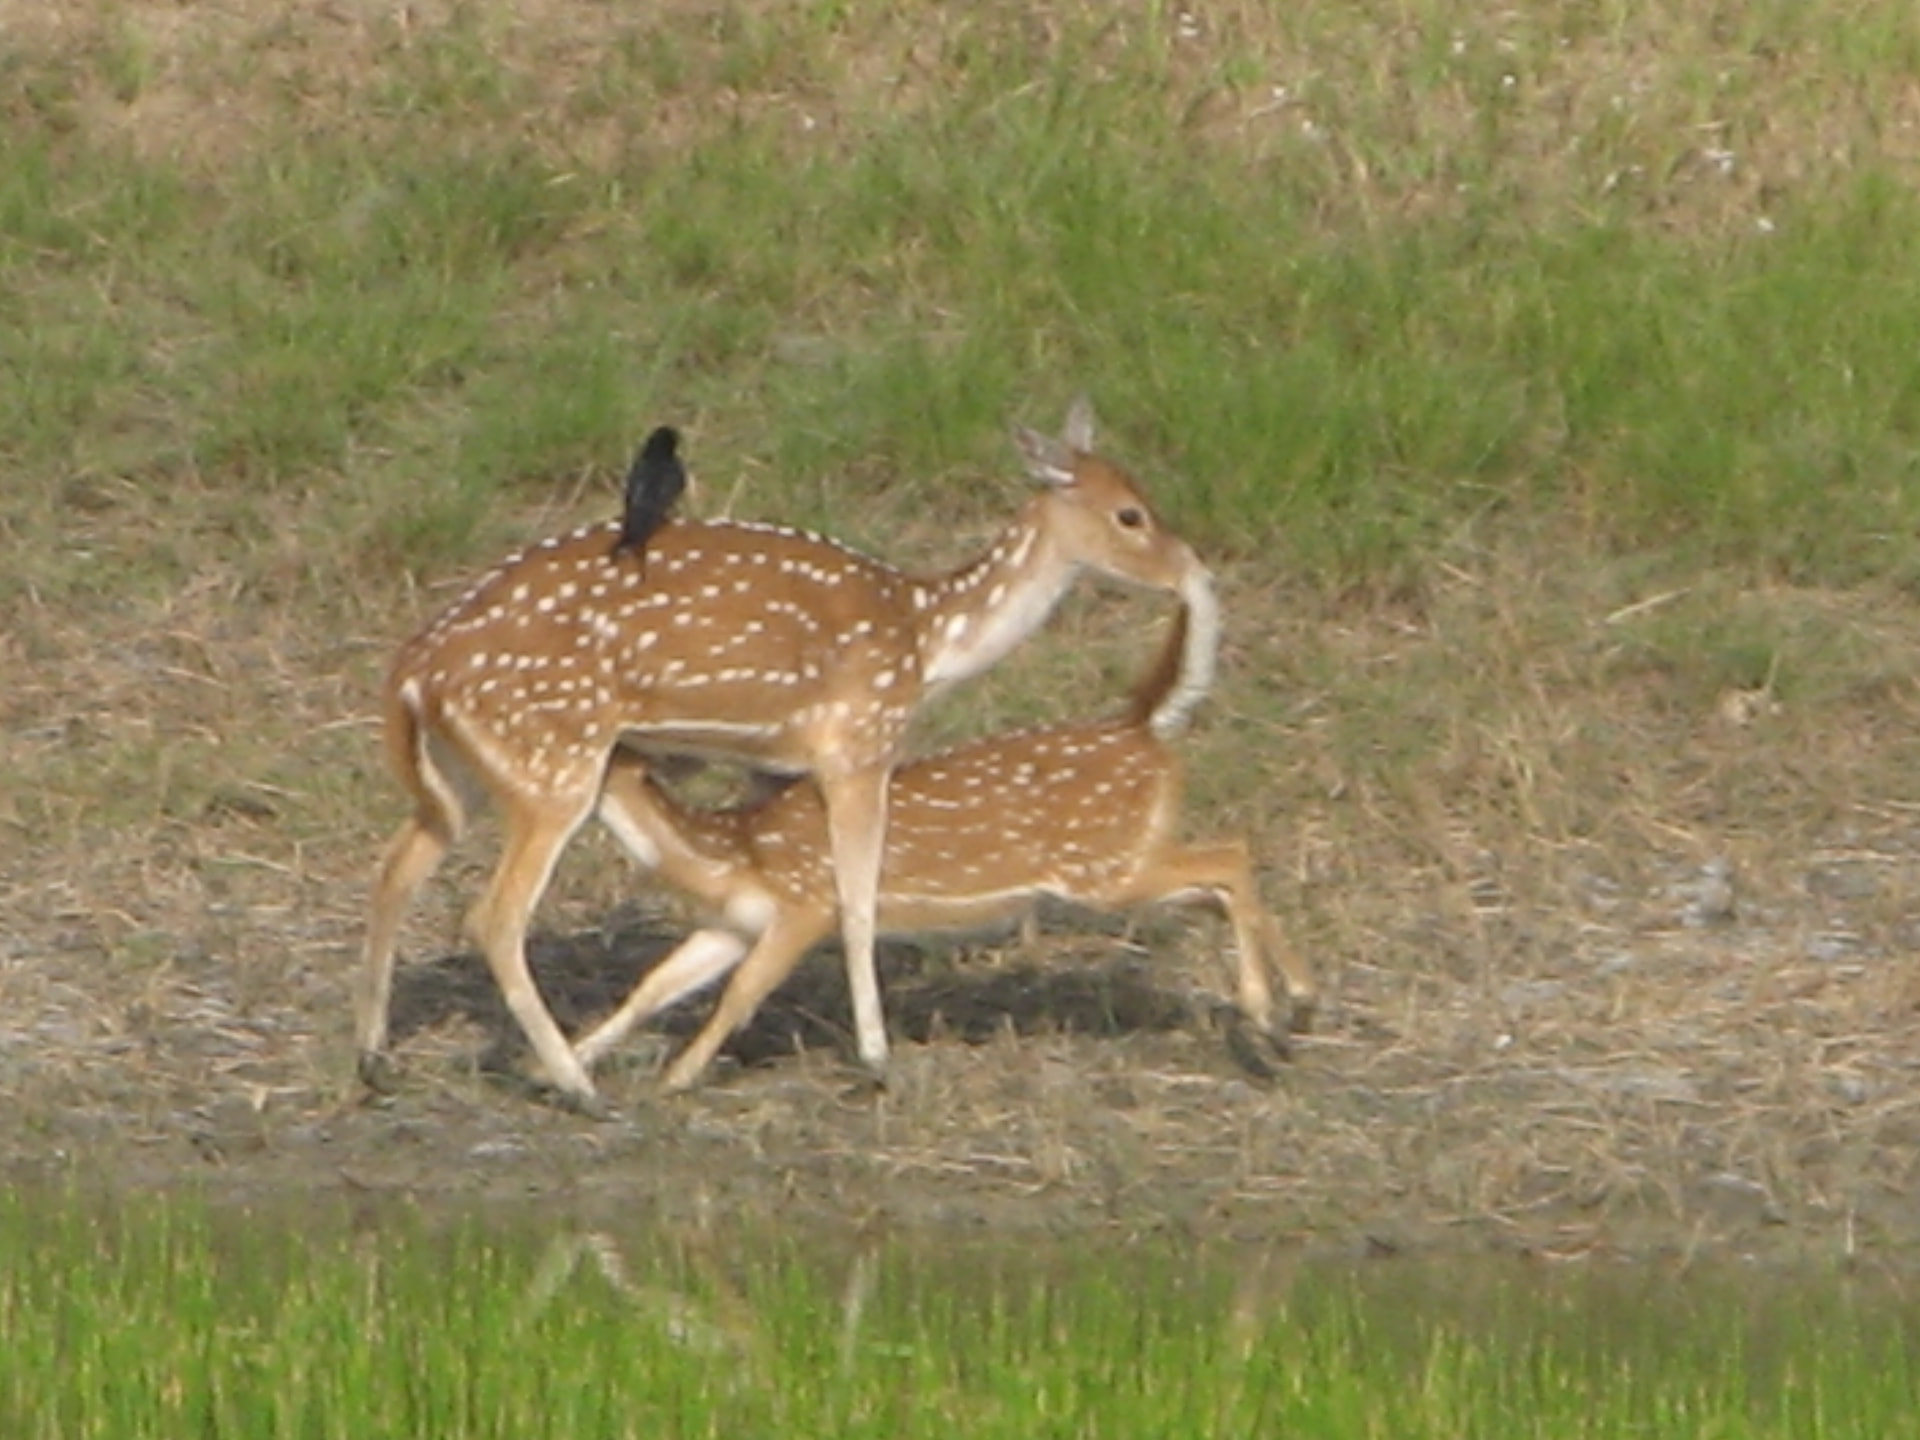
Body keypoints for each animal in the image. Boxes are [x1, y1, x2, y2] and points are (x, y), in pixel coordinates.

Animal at [354, 397, 1218, 1111]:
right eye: (1131, 514)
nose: (1193, 567)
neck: (927, 637)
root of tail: (416, 664)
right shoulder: (860, 741)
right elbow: (859, 898)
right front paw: (874, 1057)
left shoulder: (774, 762)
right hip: (553, 763)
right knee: (495, 915)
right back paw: (575, 1085)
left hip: (469, 771)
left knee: (397, 866)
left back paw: (374, 1058)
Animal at [571, 598, 1317, 1092]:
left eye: (603, 747)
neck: (726, 853)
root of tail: (1141, 728)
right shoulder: (736, 921)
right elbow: (654, 986)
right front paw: (570, 1062)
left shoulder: (807, 902)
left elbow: (742, 991)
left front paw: (677, 1078)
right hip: (1119, 863)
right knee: (1216, 884)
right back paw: (1284, 1011)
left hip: (1101, 866)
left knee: (1231, 854)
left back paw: (1281, 1005)